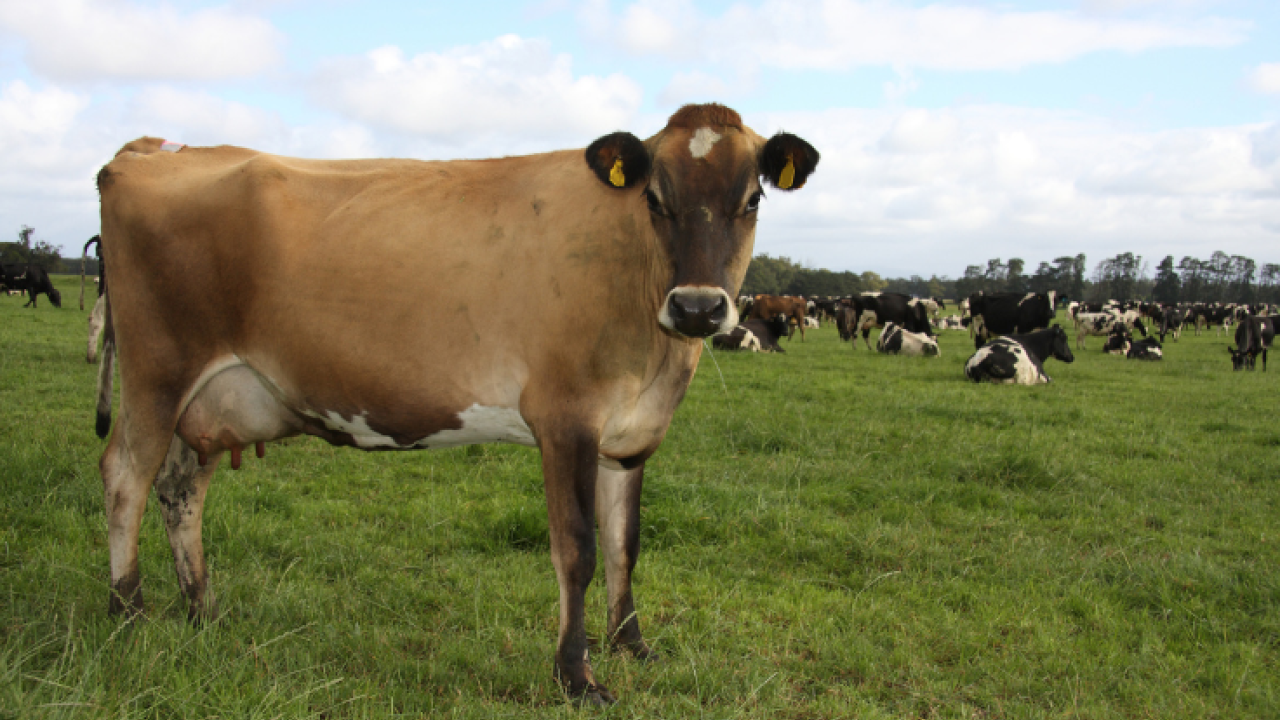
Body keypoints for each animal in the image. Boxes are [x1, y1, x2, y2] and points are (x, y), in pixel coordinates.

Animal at [91, 104, 819, 705]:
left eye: (752, 198)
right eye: (656, 199)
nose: (697, 308)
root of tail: (151, 149)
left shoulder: (629, 435)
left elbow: (625, 544)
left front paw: (634, 646)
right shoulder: (565, 418)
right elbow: (578, 549)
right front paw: (577, 677)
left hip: (208, 399)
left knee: (181, 491)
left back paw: (201, 611)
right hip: (158, 369)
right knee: (126, 475)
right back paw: (129, 613)